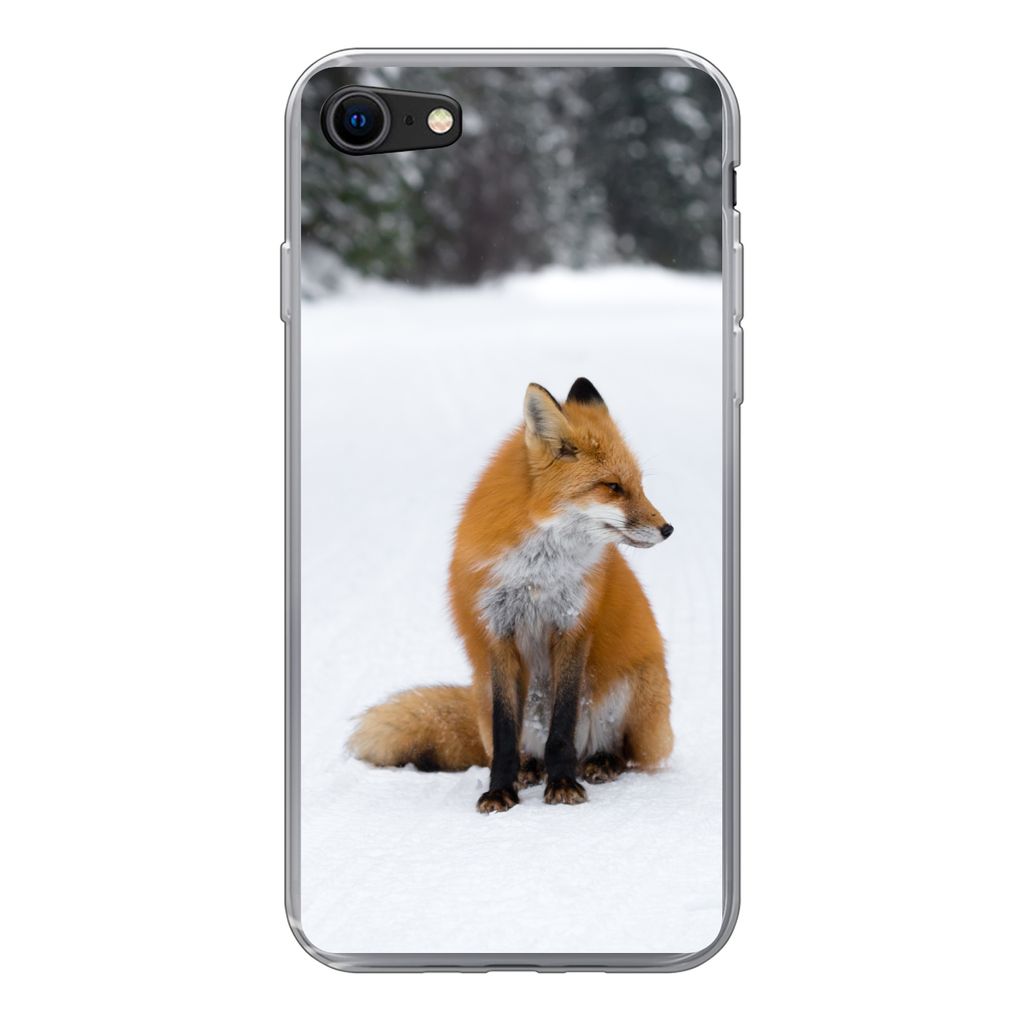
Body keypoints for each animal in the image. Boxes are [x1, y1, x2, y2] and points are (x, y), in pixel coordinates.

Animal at [348, 377, 675, 813]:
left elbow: (562, 728)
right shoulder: (497, 632)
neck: (536, 574)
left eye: (638, 485)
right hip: (484, 690)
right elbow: (505, 737)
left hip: (633, 689)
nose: (668, 529)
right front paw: (501, 789)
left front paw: (563, 784)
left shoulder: (572, 627)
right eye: (613, 487)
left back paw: (600, 762)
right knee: (517, 746)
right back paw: (529, 768)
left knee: (624, 752)